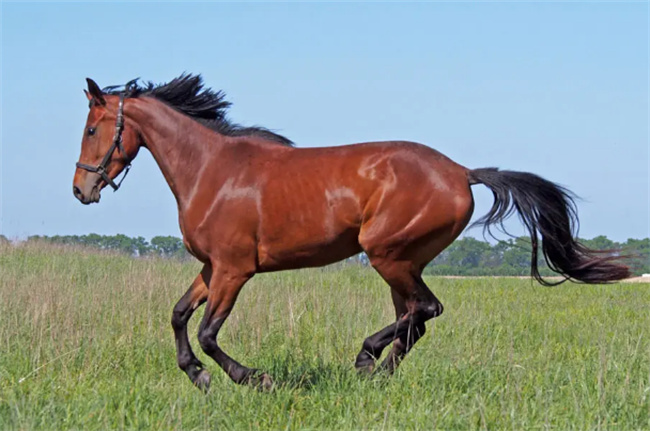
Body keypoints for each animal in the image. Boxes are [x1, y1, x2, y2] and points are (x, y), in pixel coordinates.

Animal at [72, 73, 628, 392]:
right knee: (414, 318)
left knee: (425, 310)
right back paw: (378, 374)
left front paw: (254, 379)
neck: (211, 170)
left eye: (93, 129)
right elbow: (178, 316)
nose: (81, 189)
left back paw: (365, 360)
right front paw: (198, 377)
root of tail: (461, 172)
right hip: (402, 262)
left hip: (387, 254)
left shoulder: (234, 270)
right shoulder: (212, 269)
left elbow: (209, 333)